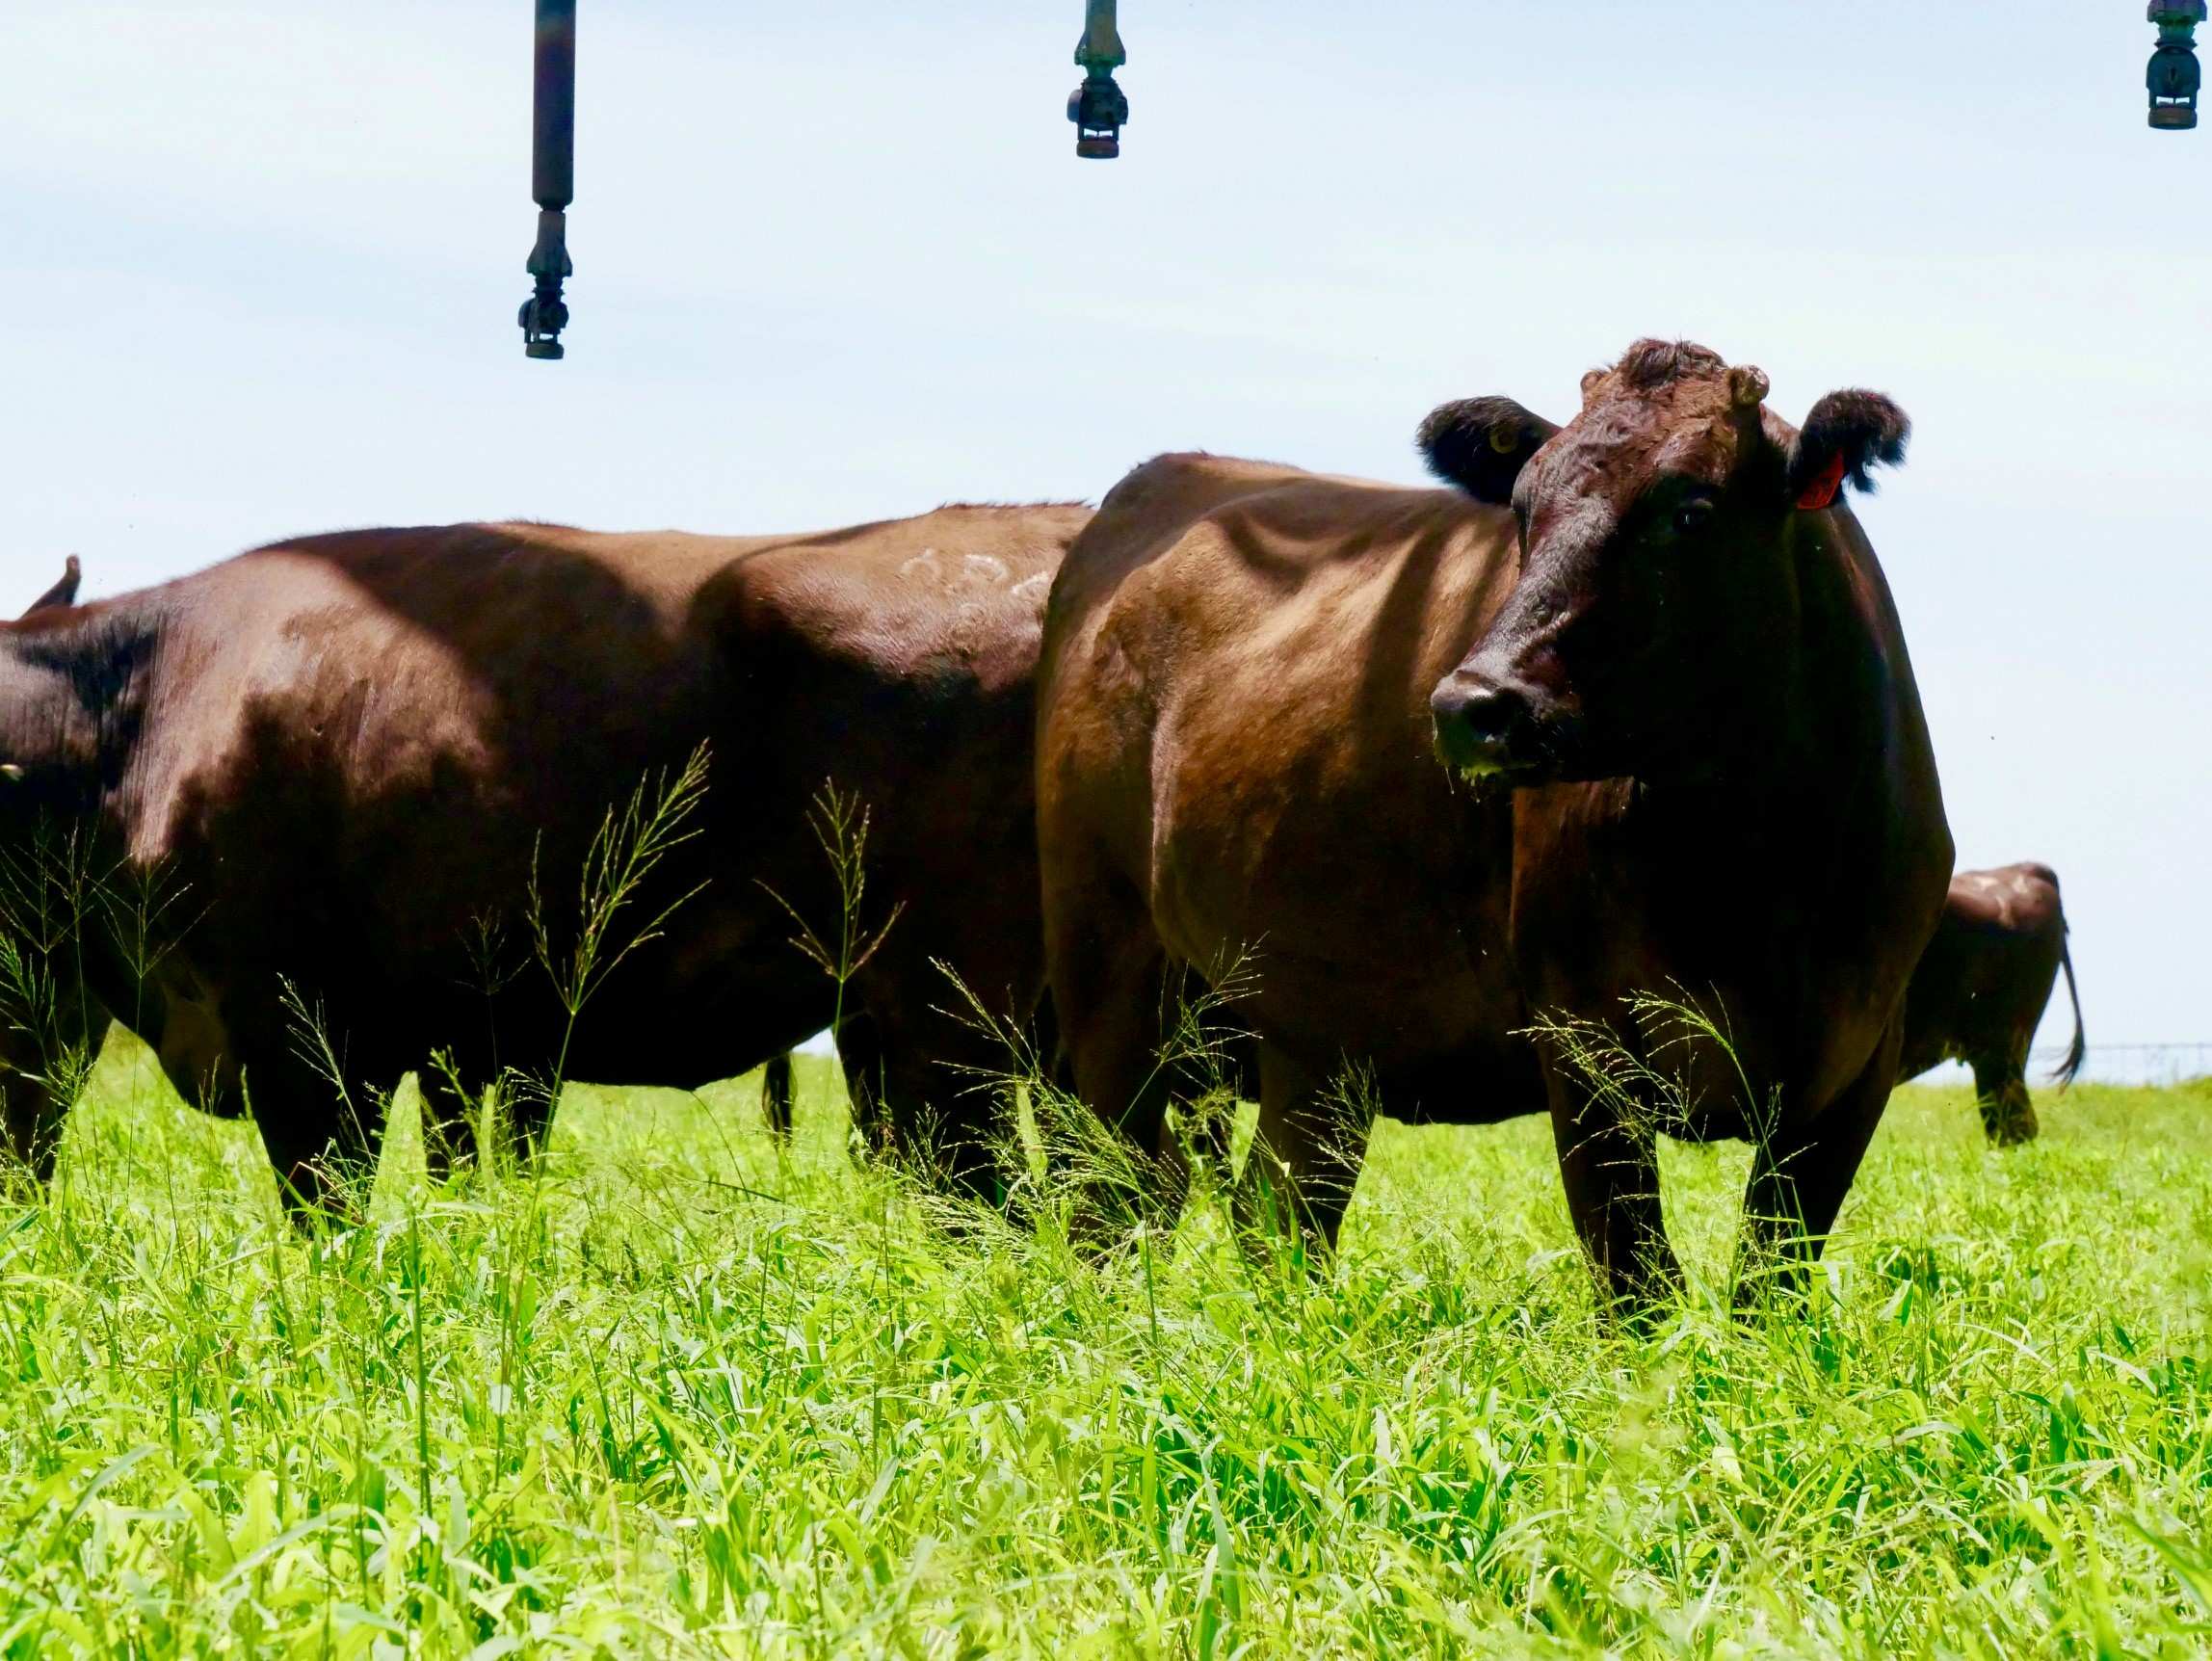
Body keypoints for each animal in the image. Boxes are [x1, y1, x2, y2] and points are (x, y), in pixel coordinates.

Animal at [1037, 339, 1952, 1315]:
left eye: (1692, 512)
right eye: (1522, 507)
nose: (1474, 707)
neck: (1748, 870)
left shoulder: (1856, 1061)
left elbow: (1768, 1279)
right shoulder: (1582, 1041)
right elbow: (1637, 1279)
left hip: (1313, 1029)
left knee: (1279, 1208)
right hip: (1110, 964)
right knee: (1121, 1185)